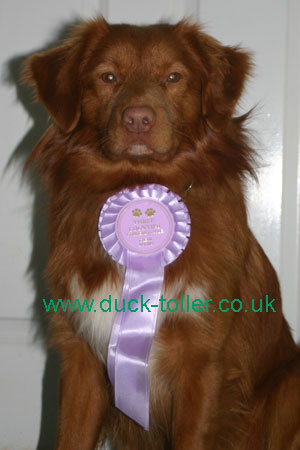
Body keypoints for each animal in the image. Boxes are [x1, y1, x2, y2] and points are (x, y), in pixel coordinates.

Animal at [23, 17, 300, 450]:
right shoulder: (80, 356)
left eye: (173, 77)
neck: (139, 182)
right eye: (108, 77)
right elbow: (70, 435)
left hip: (288, 387)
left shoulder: (202, 361)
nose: (138, 119)